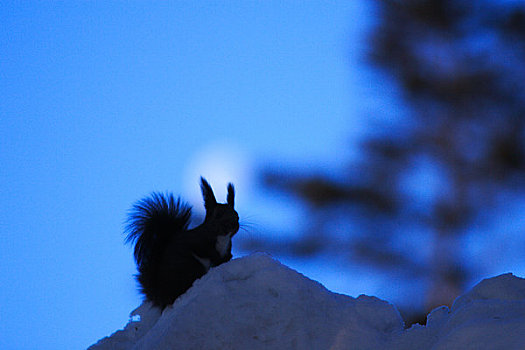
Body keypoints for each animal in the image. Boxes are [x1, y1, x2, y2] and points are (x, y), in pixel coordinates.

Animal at [124, 178, 238, 308]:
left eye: (236, 214)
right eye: (218, 215)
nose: (233, 224)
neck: (222, 238)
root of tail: (162, 296)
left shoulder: (227, 247)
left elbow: (226, 255)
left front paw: (228, 257)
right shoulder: (199, 242)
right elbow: (207, 252)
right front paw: (218, 258)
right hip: (191, 266)